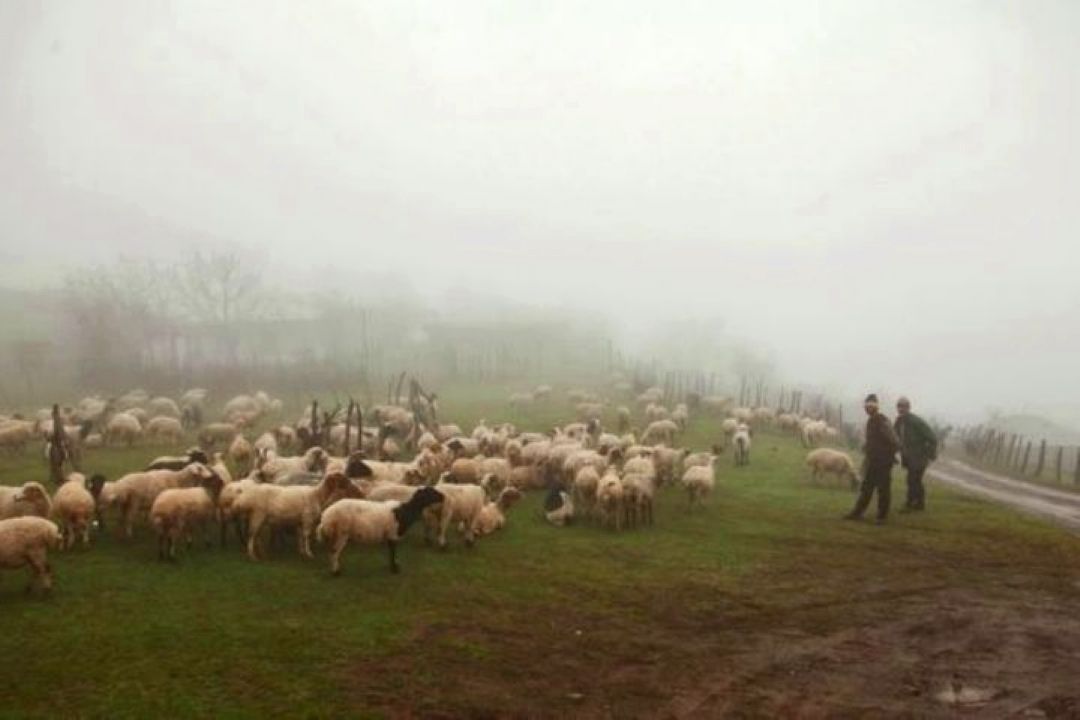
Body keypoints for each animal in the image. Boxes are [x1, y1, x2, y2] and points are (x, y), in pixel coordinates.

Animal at [315, 487, 447, 578]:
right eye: (430, 492)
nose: (443, 496)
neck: (405, 511)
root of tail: (326, 516)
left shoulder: (390, 535)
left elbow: (391, 552)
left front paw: (394, 566)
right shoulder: (393, 534)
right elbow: (393, 552)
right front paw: (394, 569)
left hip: (335, 534)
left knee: (331, 551)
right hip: (342, 532)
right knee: (334, 552)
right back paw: (336, 572)